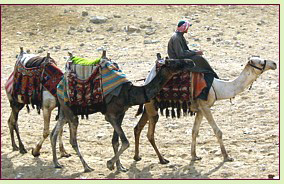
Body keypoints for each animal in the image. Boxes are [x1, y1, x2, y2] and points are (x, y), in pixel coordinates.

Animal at [49, 53, 195, 172]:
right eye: (175, 62)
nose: (191, 62)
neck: (129, 93)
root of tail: (60, 84)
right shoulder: (110, 115)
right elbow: (125, 141)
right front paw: (110, 164)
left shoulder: (121, 113)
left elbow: (116, 141)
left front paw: (119, 166)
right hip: (69, 110)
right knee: (73, 140)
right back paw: (86, 167)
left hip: (64, 110)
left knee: (54, 133)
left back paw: (56, 163)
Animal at [133, 56, 278, 164]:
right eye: (261, 62)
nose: (275, 63)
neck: (218, 87)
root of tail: (146, 80)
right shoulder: (205, 106)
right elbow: (217, 131)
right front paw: (227, 157)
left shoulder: (200, 110)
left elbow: (194, 131)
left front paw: (194, 156)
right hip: (152, 107)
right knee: (150, 133)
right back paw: (162, 160)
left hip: (149, 106)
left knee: (138, 128)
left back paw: (137, 157)